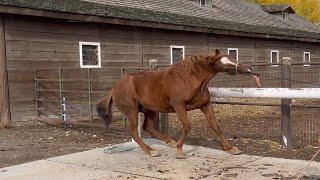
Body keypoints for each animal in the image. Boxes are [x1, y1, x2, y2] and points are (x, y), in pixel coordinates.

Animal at [97, 49, 260, 159]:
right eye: (225, 64)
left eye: (232, 58)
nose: (250, 70)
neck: (188, 78)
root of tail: (114, 88)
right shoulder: (179, 105)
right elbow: (187, 126)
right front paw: (179, 151)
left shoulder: (205, 105)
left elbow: (216, 127)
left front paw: (231, 148)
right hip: (132, 111)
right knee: (135, 133)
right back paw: (152, 151)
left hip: (150, 110)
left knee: (148, 128)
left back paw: (169, 141)